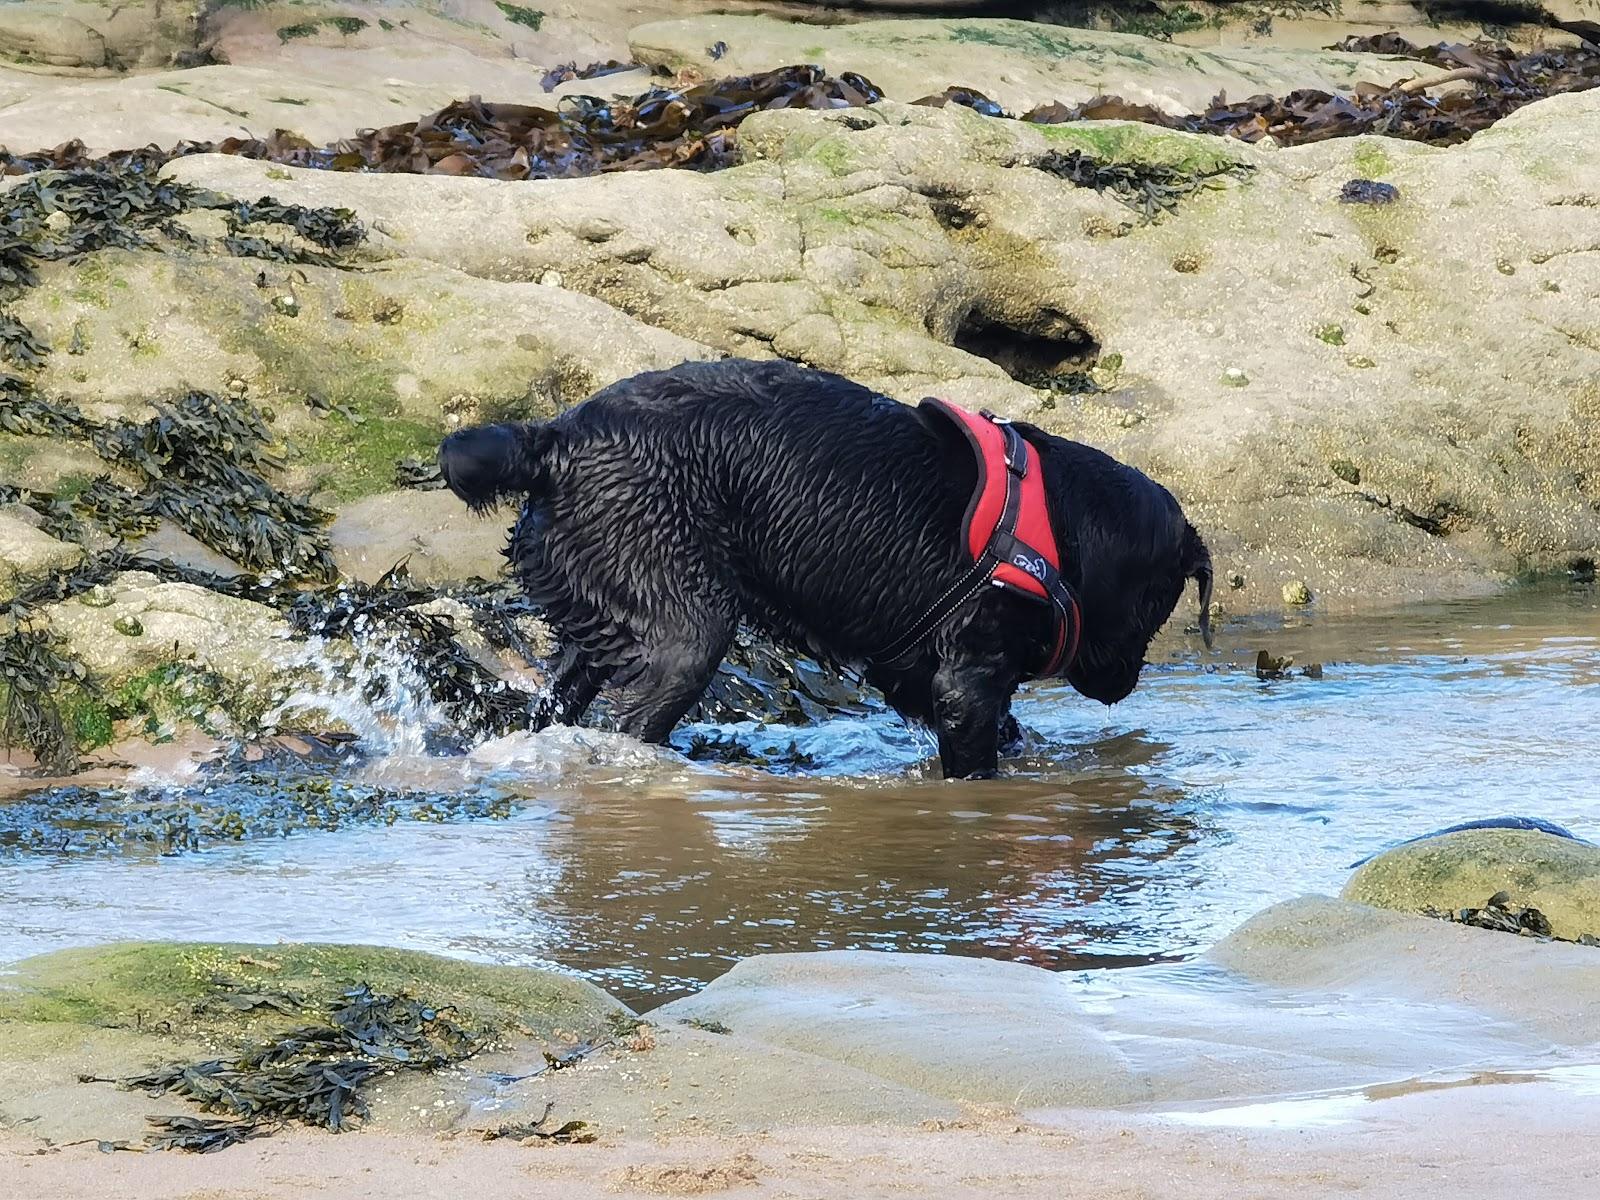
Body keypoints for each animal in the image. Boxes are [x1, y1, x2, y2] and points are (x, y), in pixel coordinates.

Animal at [438, 360, 1209, 780]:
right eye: (1158, 605)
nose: (1124, 685)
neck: (1063, 519)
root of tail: (555, 438)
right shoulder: (966, 678)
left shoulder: (920, 676)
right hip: (684, 632)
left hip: (596, 617)